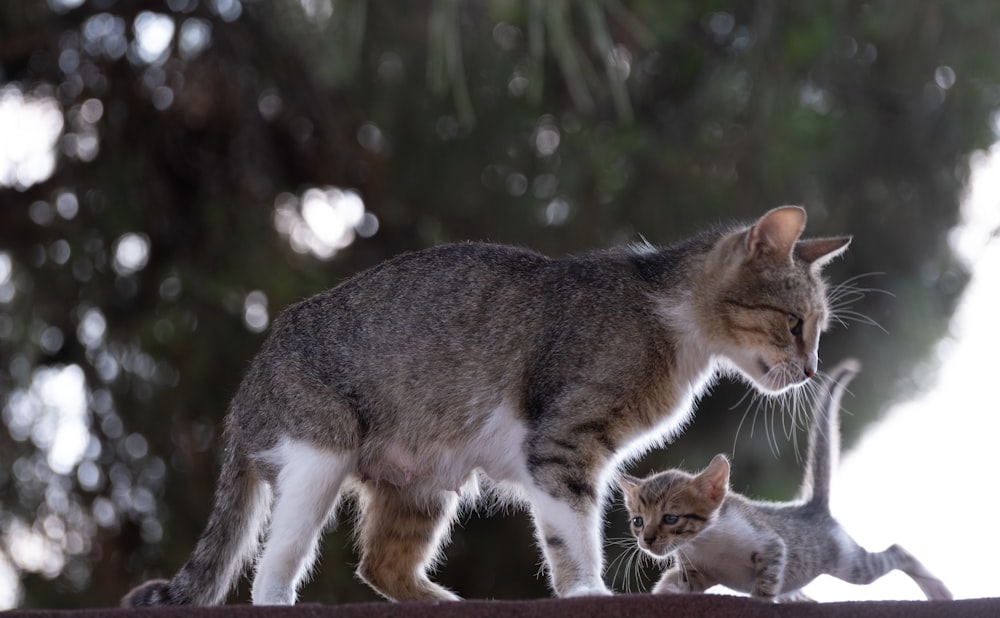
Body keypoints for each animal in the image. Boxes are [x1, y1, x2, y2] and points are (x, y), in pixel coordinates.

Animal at [121, 206, 848, 600]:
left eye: (819, 331)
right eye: (794, 325)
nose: (812, 369)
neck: (665, 313)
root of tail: (247, 387)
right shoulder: (563, 444)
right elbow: (573, 532)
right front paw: (587, 590)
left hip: (421, 484)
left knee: (381, 565)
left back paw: (442, 599)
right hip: (318, 455)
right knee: (272, 569)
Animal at [616, 358, 952, 600]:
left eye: (671, 518)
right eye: (637, 521)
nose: (646, 540)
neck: (706, 542)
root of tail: (812, 508)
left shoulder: (771, 545)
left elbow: (766, 582)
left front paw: (761, 600)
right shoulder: (694, 574)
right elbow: (672, 584)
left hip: (851, 565)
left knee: (897, 551)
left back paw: (939, 591)